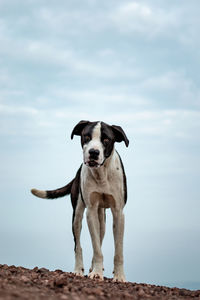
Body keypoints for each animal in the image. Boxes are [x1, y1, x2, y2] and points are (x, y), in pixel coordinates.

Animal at [30, 119, 129, 282]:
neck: (102, 174)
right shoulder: (90, 211)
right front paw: (96, 273)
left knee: (100, 238)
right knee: (78, 245)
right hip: (77, 215)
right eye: (86, 137)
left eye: (106, 139)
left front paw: (119, 276)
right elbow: (96, 248)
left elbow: (118, 250)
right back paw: (78, 270)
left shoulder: (118, 213)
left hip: (102, 218)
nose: (93, 152)